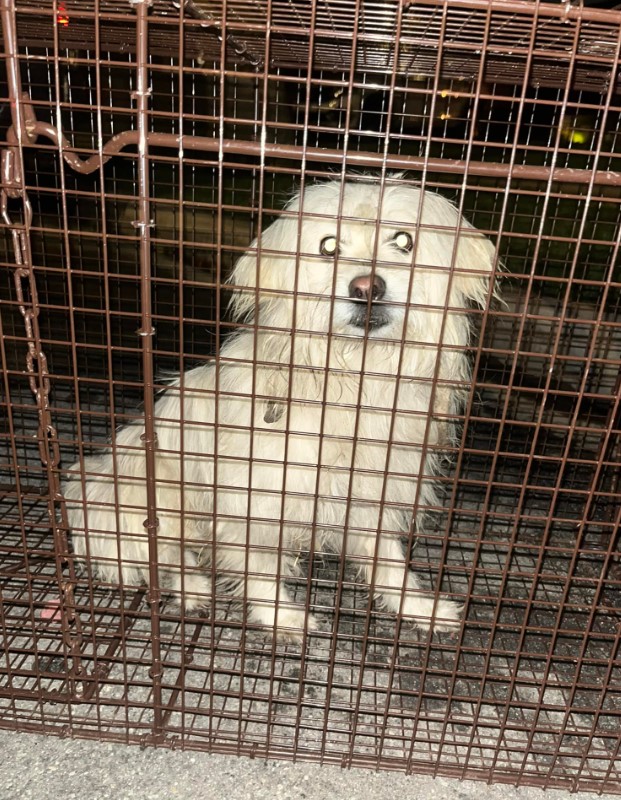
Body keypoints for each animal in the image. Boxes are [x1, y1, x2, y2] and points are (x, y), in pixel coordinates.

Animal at [64, 178, 494, 640]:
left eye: (403, 241)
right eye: (328, 246)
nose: (367, 287)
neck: (353, 377)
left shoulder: (369, 494)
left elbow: (389, 562)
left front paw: (418, 607)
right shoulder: (253, 501)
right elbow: (260, 567)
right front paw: (280, 616)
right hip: (130, 497)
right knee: (163, 553)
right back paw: (193, 587)